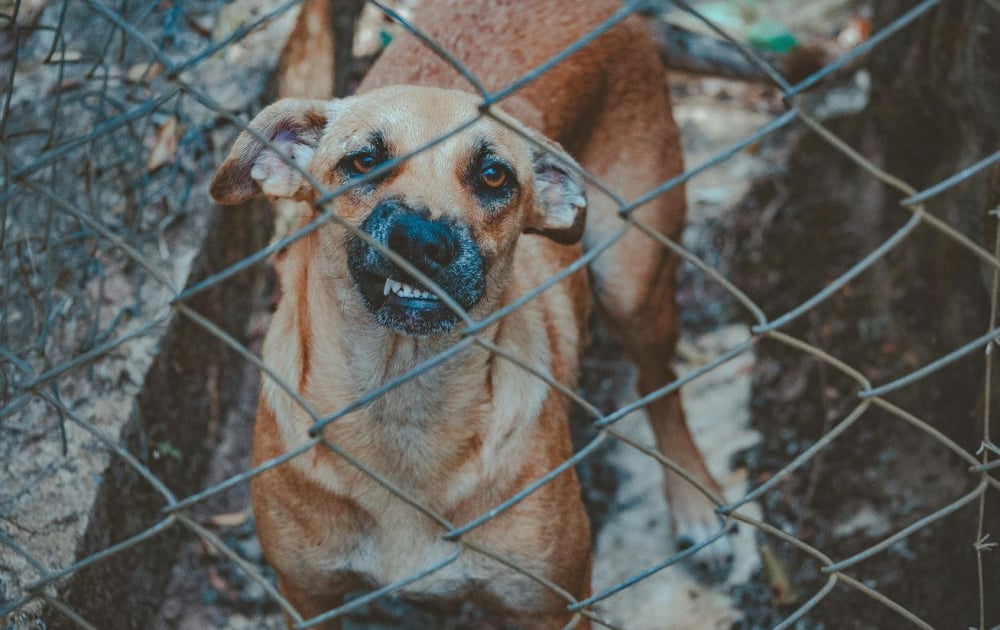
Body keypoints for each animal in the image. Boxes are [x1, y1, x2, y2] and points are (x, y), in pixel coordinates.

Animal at [209, 1, 728, 628]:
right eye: (363, 160)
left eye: (493, 175)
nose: (422, 239)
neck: (402, 403)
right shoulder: (306, 595)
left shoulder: (554, 603)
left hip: (633, 281)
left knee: (662, 386)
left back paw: (693, 500)